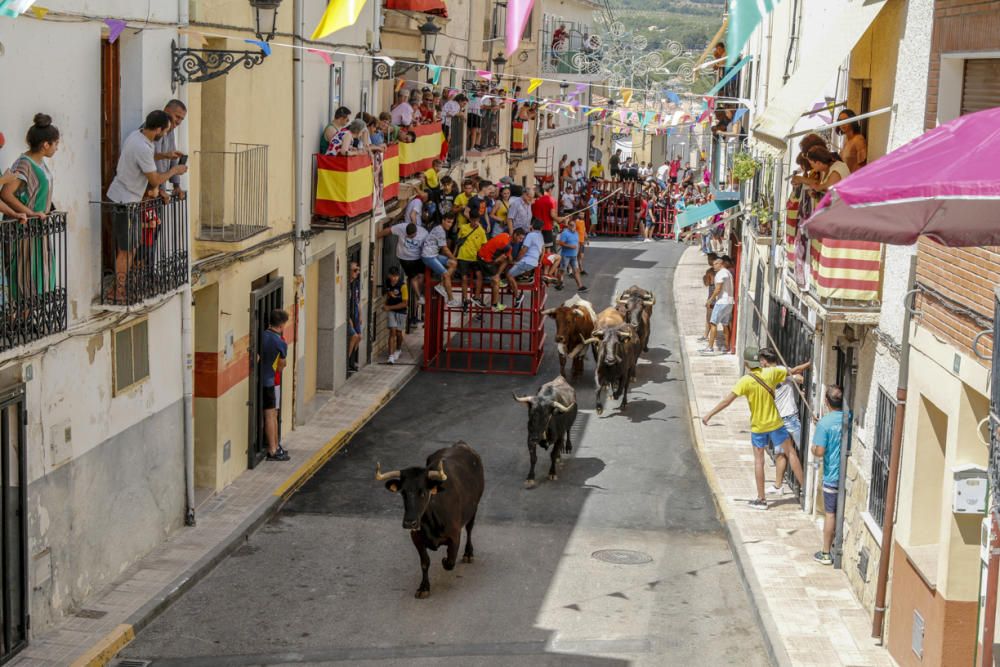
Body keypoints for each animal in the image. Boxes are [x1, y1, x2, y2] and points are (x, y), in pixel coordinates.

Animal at [376, 444, 484, 600]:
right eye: (403, 493)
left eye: (423, 492)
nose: (409, 523)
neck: (431, 522)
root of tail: (460, 444)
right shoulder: (416, 538)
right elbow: (425, 563)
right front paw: (424, 587)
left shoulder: (454, 535)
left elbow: (450, 561)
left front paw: (445, 560)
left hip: (474, 508)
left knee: (469, 529)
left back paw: (468, 554)